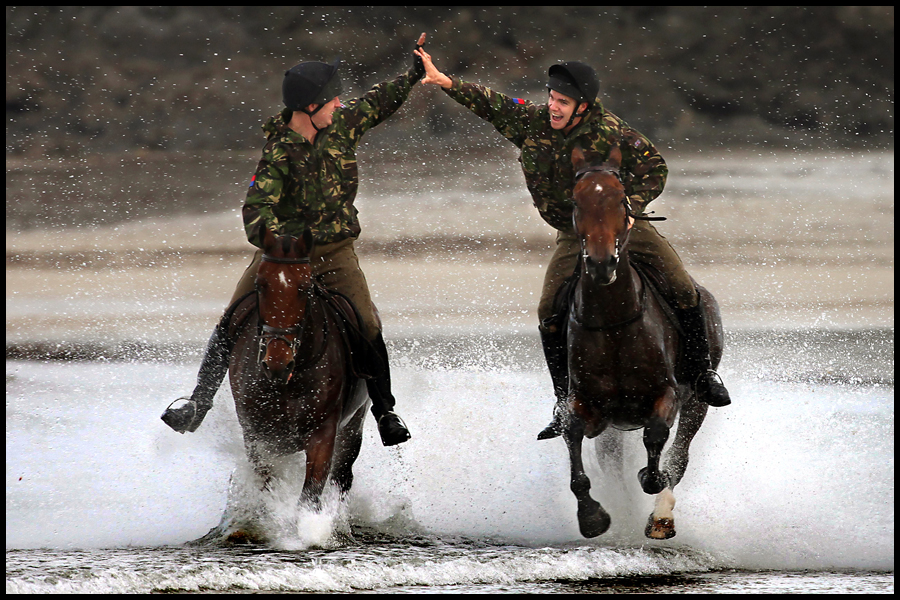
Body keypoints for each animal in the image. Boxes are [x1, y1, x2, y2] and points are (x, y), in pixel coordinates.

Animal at [564, 145, 724, 540]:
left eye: (621, 199)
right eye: (575, 201)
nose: (602, 263)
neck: (613, 323)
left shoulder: (666, 395)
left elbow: (656, 443)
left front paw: (651, 482)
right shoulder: (590, 406)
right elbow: (573, 433)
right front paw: (592, 516)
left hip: (698, 401)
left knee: (679, 456)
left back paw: (660, 518)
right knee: (612, 460)